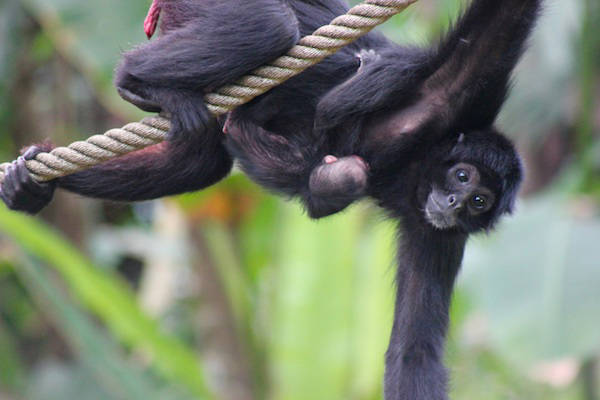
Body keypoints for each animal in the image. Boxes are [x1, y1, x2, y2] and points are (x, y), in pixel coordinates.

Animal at [1, 1, 544, 398]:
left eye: (479, 201)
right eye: (461, 175)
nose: (454, 204)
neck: (418, 161)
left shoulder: (437, 233)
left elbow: (414, 355)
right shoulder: (450, 96)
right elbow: (499, 24)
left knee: (203, 159)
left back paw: (32, 183)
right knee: (271, 26)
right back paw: (136, 79)